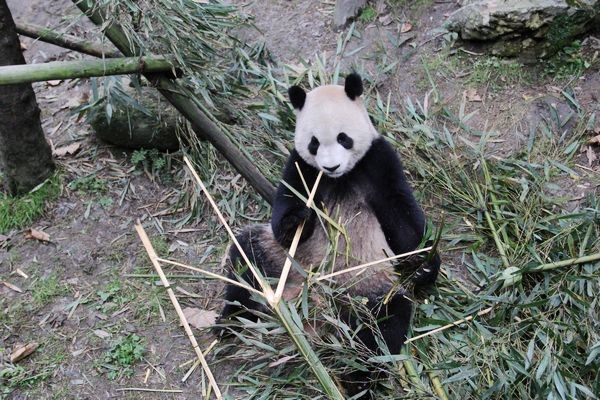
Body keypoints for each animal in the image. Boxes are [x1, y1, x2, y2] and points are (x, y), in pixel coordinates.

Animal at [220, 73, 440, 398]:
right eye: (313, 143)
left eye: (343, 138)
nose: (330, 166)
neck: (340, 178)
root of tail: (313, 303)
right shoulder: (299, 166)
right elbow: (284, 213)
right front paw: (299, 218)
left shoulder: (379, 161)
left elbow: (402, 217)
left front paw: (425, 265)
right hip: (281, 261)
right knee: (246, 260)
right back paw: (229, 321)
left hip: (368, 288)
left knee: (382, 328)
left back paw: (356, 382)